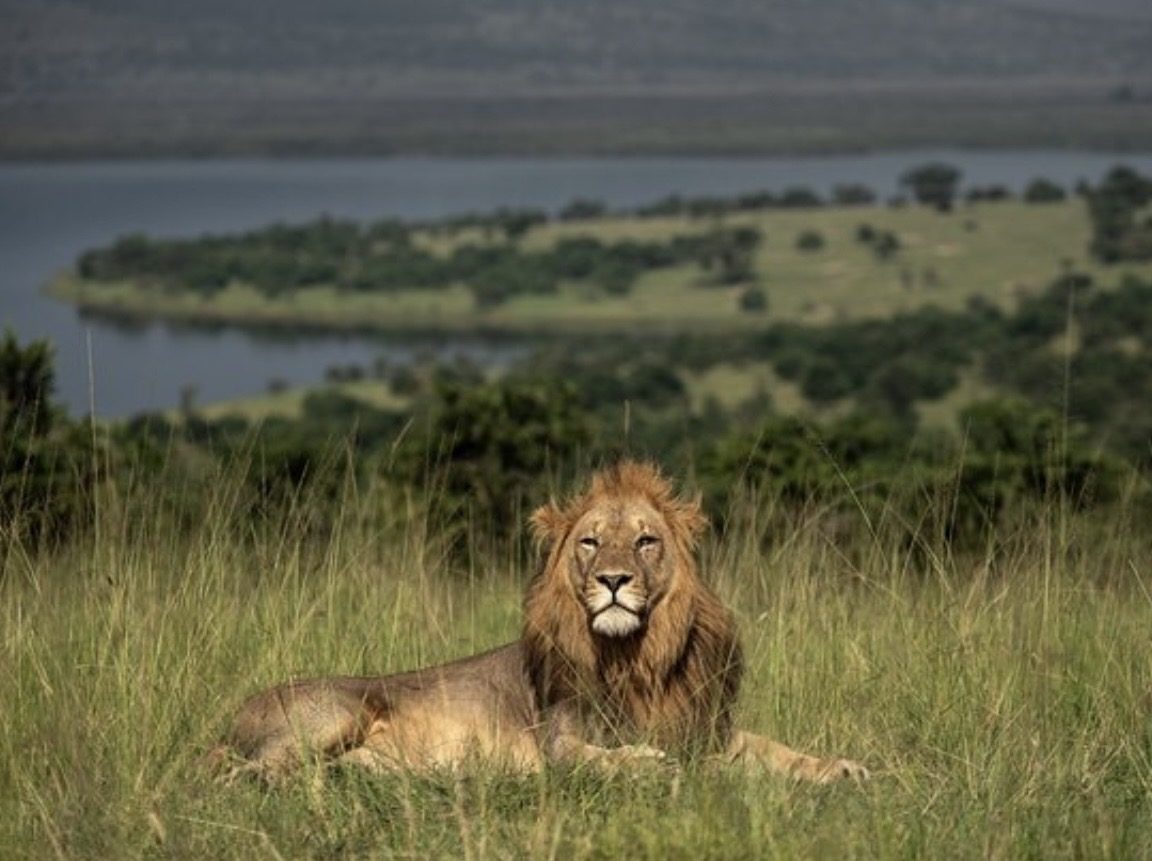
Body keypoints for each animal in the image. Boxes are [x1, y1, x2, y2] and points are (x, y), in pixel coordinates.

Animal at [207, 461, 868, 783]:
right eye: (590, 542)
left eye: (646, 541)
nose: (613, 580)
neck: (638, 657)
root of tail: (233, 713)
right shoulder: (557, 739)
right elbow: (590, 757)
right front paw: (644, 764)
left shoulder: (704, 728)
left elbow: (774, 749)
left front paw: (840, 767)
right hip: (337, 711)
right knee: (248, 771)